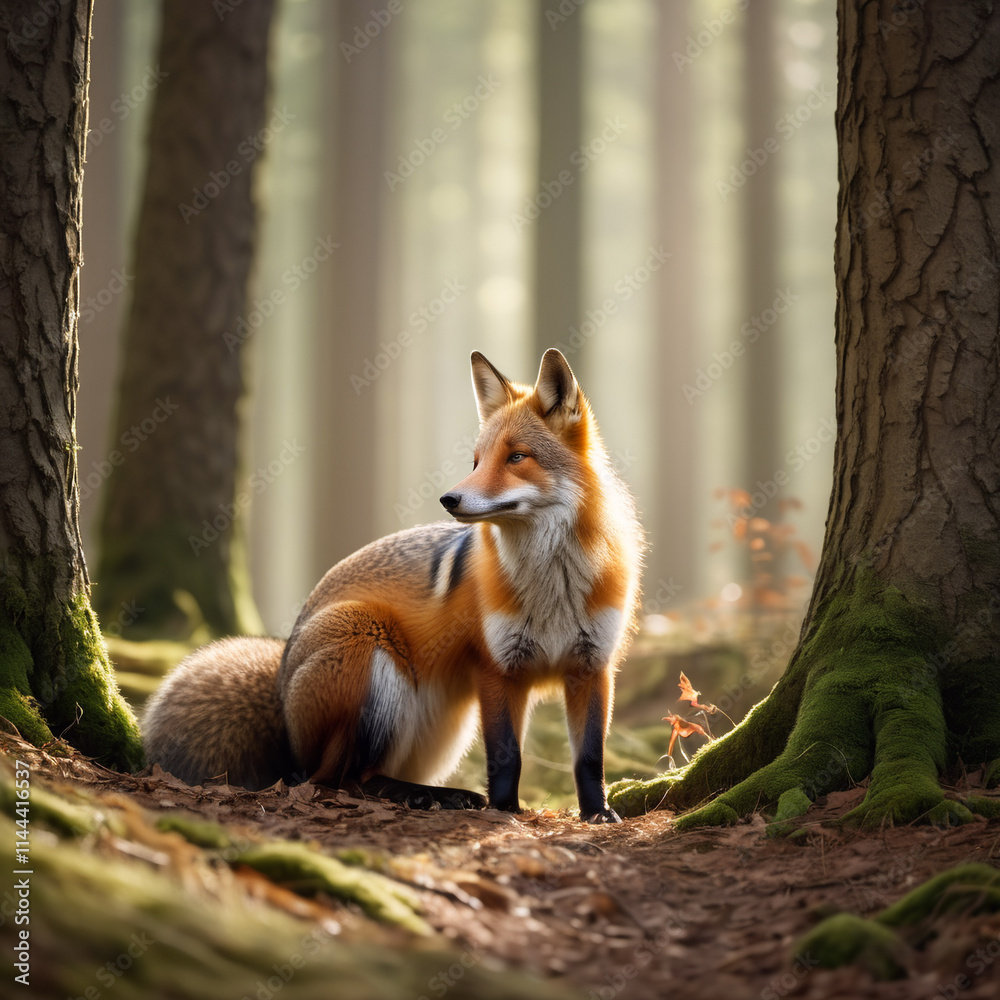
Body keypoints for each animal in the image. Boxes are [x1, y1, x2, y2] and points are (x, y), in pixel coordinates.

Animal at [142, 348, 642, 822]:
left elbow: (590, 758)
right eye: (476, 462)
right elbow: (506, 758)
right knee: (337, 779)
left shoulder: (593, 666)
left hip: (446, 724)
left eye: (516, 457)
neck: (554, 589)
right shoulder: (497, 668)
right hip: (369, 646)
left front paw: (597, 812)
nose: (449, 498)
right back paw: (428, 796)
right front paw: (504, 811)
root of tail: (283, 695)